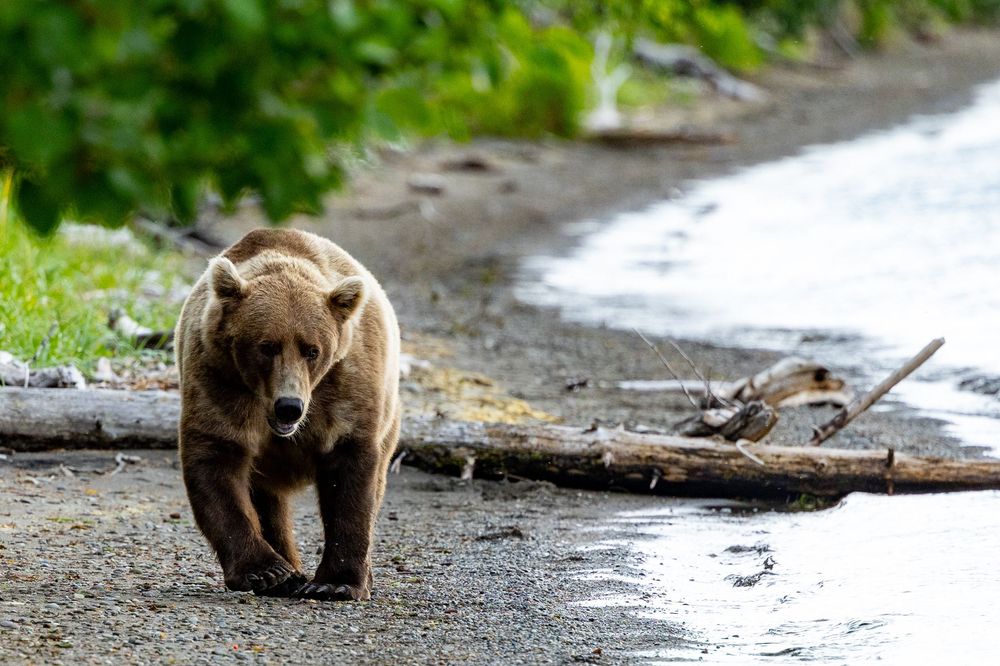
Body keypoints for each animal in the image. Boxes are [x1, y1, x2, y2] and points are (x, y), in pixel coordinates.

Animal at [174, 228, 400, 601]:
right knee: (266, 497)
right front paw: (267, 572)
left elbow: (350, 477)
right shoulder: (218, 377)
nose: (289, 406)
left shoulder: (346, 388)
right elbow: (216, 461)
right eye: (266, 346)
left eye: (312, 350)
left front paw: (336, 582)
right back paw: (289, 571)